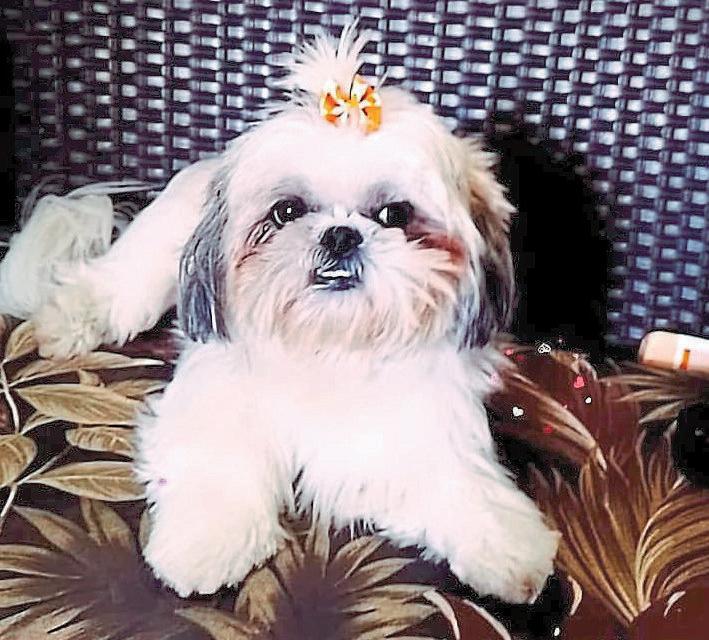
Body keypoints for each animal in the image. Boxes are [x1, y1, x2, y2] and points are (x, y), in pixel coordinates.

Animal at [18, 26, 559, 602]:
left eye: (395, 214)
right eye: (287, 211)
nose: (340, 234)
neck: (328, 346)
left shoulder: (414, 432)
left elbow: (459, 484)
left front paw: (506, 545)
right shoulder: (220, 397)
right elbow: (219, 462)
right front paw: (206, 541)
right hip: (153, 260)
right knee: (114, 285)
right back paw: (66, 322)